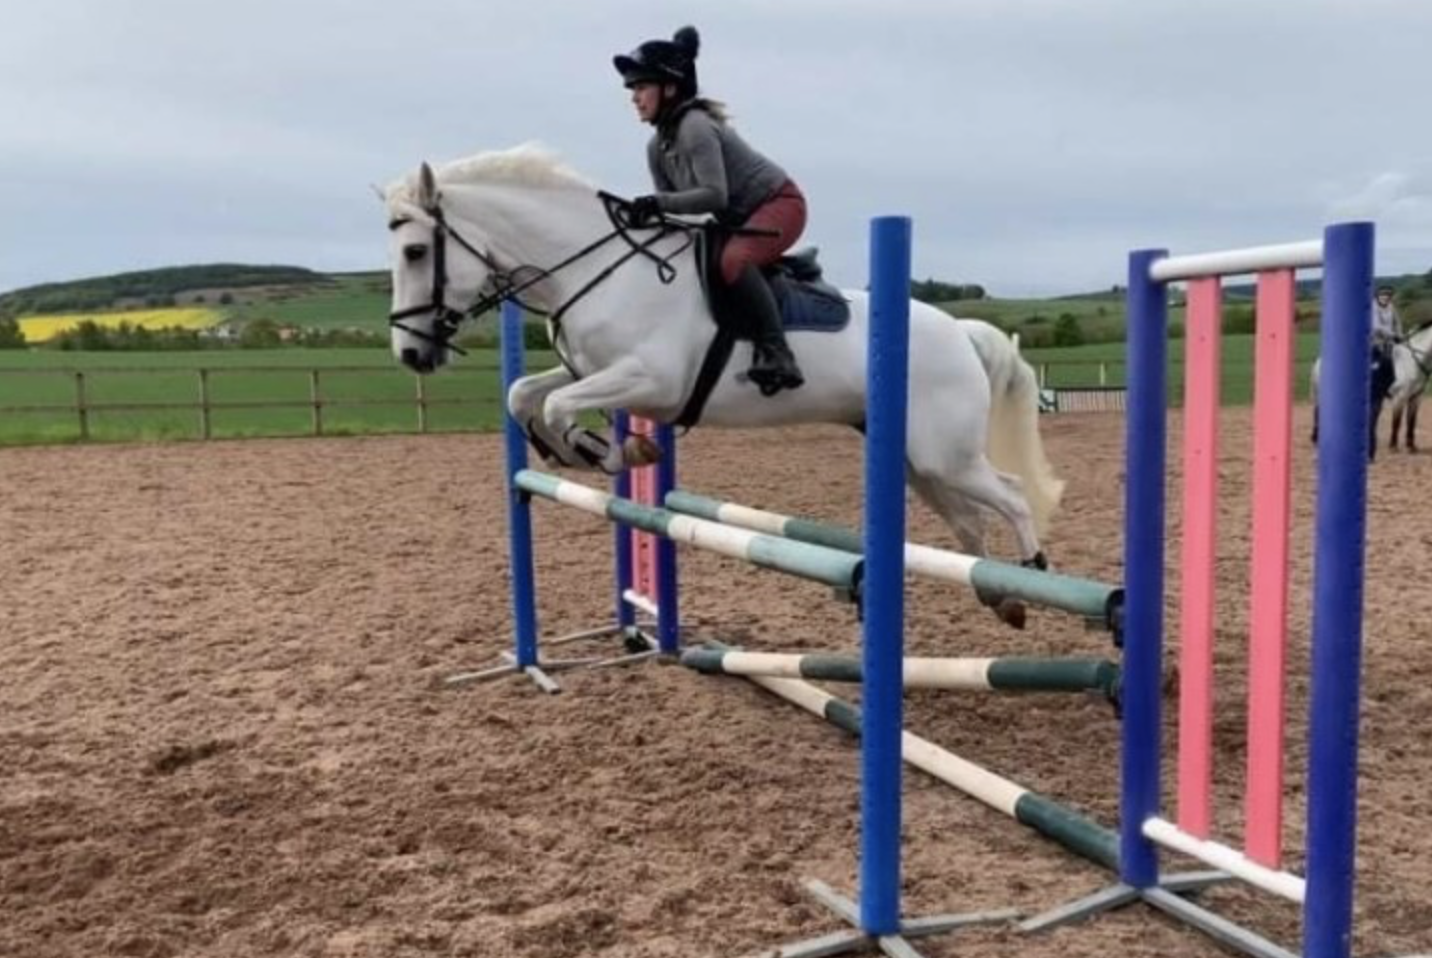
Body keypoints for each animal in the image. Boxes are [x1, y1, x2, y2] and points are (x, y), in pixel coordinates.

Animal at [383, 144, 1064, 627]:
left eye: (416, 252)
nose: (411, 353)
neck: (594, 268)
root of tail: (960, 332)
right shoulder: (594, 371)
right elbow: (525, 393)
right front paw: (579, 450)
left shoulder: (650, 378)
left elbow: (554, 403)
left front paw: (611, 450)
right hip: (916, 460)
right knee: (968, 522)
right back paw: (1001, 597)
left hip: (943, 454)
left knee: (1010, 496)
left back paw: (1032, 571)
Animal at [1311, 320, 1432, 456]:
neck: (1411, 361)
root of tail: (1320, 360)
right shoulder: (1399, 398)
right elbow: (1396, 422)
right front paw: (1393, 446)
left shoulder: (1416, 397)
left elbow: (1411, 421)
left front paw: (1411, 446)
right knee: (1318, 412)